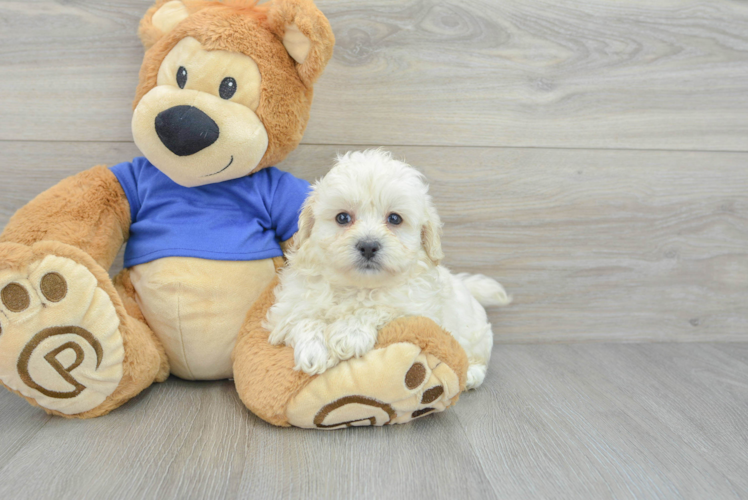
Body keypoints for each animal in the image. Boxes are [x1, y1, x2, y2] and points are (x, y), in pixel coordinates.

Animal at [262, 150, 508, 388]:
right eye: (342, 217)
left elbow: (380, 308)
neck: (357, 286)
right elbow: (300, 318)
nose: (368, 245)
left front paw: (349, 333)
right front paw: (314, 348)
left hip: (475, 333)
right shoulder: (287, 308)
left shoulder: (419, 312)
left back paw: (471, 375)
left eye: (395, 219)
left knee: (476, 356)